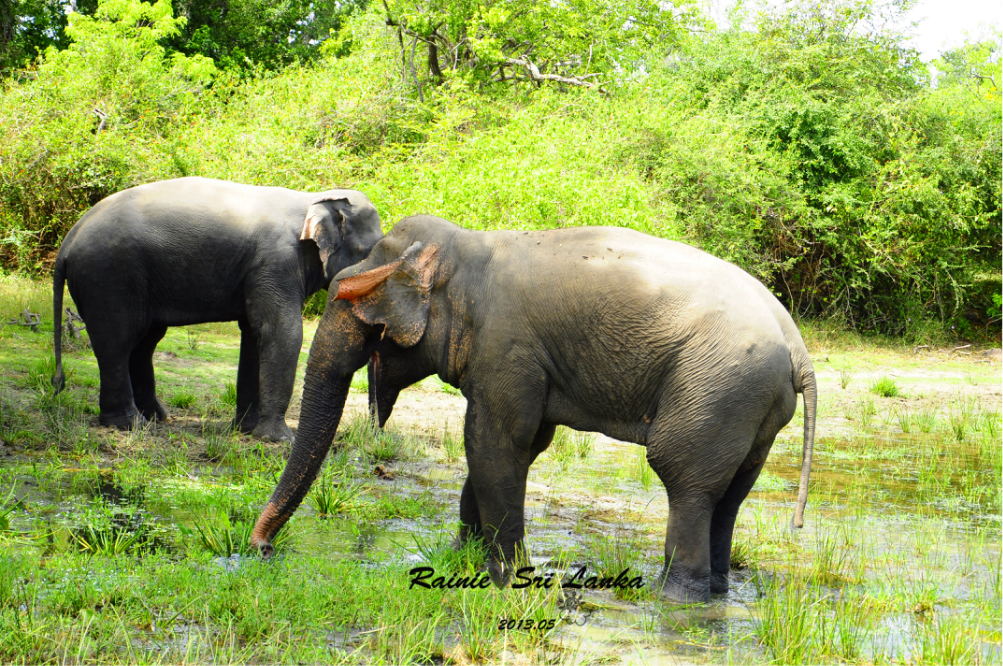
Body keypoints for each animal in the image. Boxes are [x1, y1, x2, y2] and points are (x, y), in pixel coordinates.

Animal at [52, 175, 385, 441]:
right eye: (374, 253)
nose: (372, 432)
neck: (312, 197)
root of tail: (69, 239)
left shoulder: (260, 271)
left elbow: (254, 333)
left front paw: (246, 430)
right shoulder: (276, 261)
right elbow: (282, 333)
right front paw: (278, 440)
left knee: (143, 342)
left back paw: (155, 418)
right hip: (109, 276)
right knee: (117, 342)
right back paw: (130, 425)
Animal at [248, 215, 814, 601]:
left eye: (358, 313)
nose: (261, 550)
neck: (466, 246)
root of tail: (798, 347)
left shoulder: (506, 347)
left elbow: (495, 442)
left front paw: (506, 579)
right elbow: (513, 445)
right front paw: (463, 560)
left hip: (717, 387)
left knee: (685, 478)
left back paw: (674, 598)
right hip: (751, 405)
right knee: (732, 491)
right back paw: (715, 592)